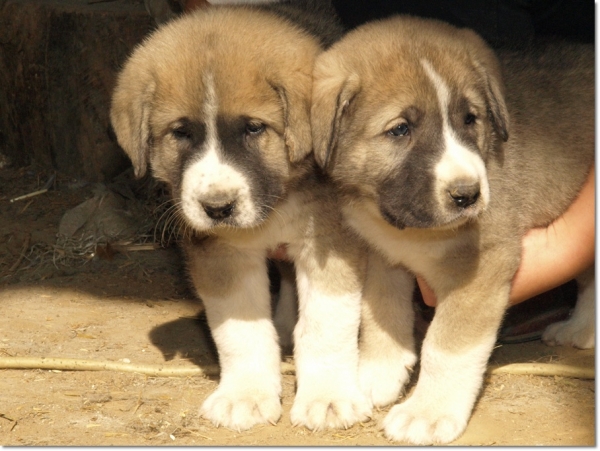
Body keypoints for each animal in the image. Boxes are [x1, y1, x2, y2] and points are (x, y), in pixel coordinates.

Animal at [110, 4, 376, 434]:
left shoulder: (330, 243)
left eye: (254, 128)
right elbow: (241, 329)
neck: (278, 201)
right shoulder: (222, 254)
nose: (217, 207)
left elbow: (326, 327)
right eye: (180, 133)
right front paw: (246, 395)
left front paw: (328, 398)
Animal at [312, 15, 592, 448]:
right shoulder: (381, 251)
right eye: (400, 130)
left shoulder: (482, 266)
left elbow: (446, 345)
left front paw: (427, 412)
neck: (407, 229)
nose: (468, 195)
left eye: (470, 119)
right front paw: (380, 369)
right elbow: (379, 311)